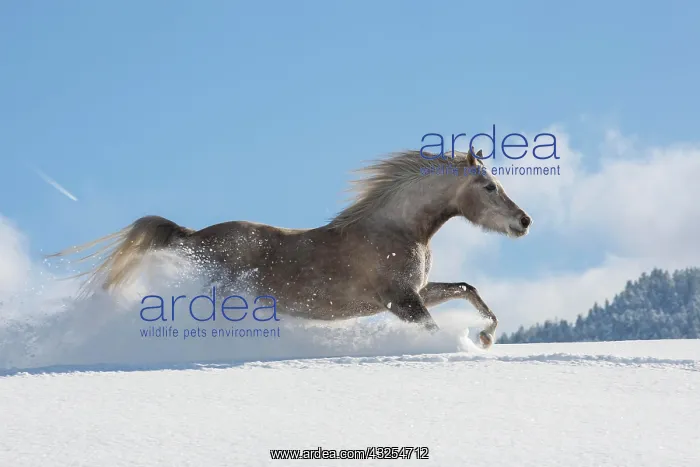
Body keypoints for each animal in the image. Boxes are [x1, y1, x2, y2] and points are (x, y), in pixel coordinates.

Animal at [50, 148, 531, 349]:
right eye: (489, 186)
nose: (524, 222)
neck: (396, 229)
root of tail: (191, 236)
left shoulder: (417, 293)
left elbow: (468, 289)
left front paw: (486, 337)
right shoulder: (402, 301)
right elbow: (432, 328)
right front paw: (466, 345)